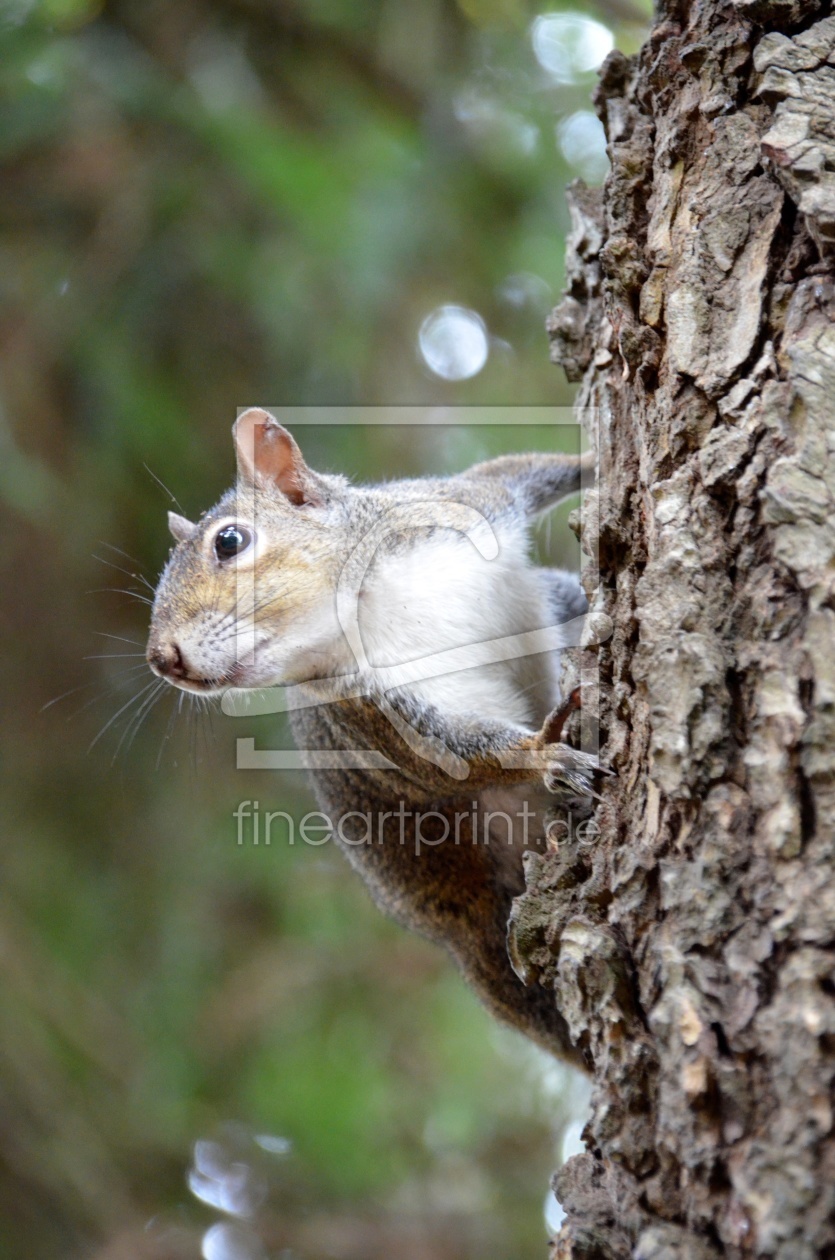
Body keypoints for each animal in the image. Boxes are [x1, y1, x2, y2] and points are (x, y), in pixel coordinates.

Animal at [148, 408, 602, 1068]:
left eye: (229, 541)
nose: (162, 660)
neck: (365, 603)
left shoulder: (468, 501)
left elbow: (530, 468)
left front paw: (596, 458)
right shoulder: (373, 713)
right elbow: (454, 759)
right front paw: (541, 754)